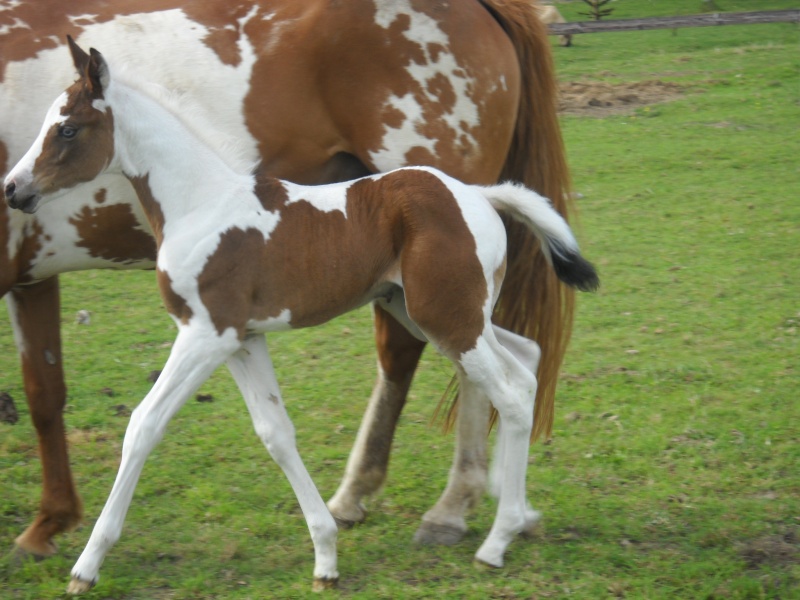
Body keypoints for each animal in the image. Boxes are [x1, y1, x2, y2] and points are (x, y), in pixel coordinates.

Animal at [3, 39, 596, 592]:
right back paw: (519, 513)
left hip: (448, 318)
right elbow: (276, 433)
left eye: (67, 129)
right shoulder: (243, 340)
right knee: (526, 360)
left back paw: (496, 541)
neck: (199, 204)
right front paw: (326, 558)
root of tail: (478, 195)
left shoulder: (205, 335)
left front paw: (87, 566)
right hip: (436, 312)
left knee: (512, 393)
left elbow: (144, 424)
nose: (13, 189)